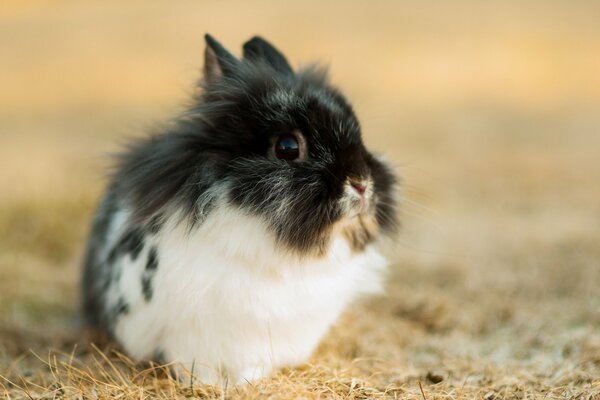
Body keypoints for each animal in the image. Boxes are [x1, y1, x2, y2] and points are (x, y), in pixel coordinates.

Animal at [81, 34, 398, 384]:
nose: (362, 183)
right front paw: (209, 385)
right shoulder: (186, 334)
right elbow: (194, 365)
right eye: (287, 147)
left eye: (360, 134)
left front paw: (248, 382)